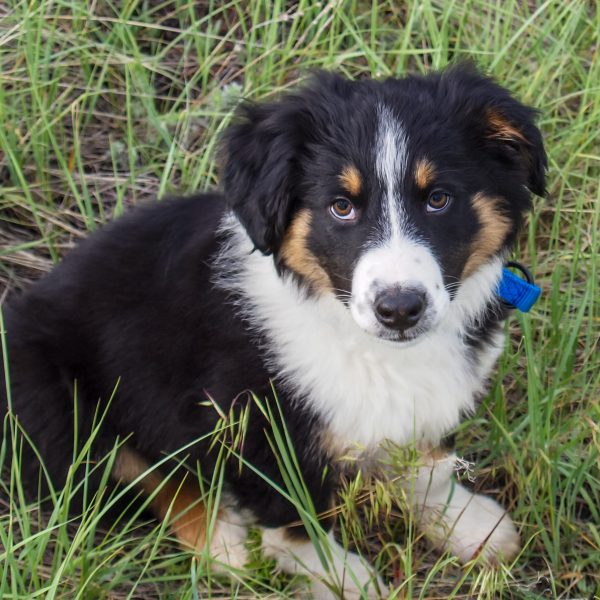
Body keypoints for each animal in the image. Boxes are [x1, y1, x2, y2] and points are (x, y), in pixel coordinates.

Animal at [0, 63, 544, 596]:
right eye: (341, 206)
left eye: (439, 199)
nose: (399, 309)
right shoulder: (251, 425)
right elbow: (296, 519)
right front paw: (339, 579)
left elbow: (428, 464)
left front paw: (466, 524)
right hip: (52, 402)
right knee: (136, 475)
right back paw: (222, 541)